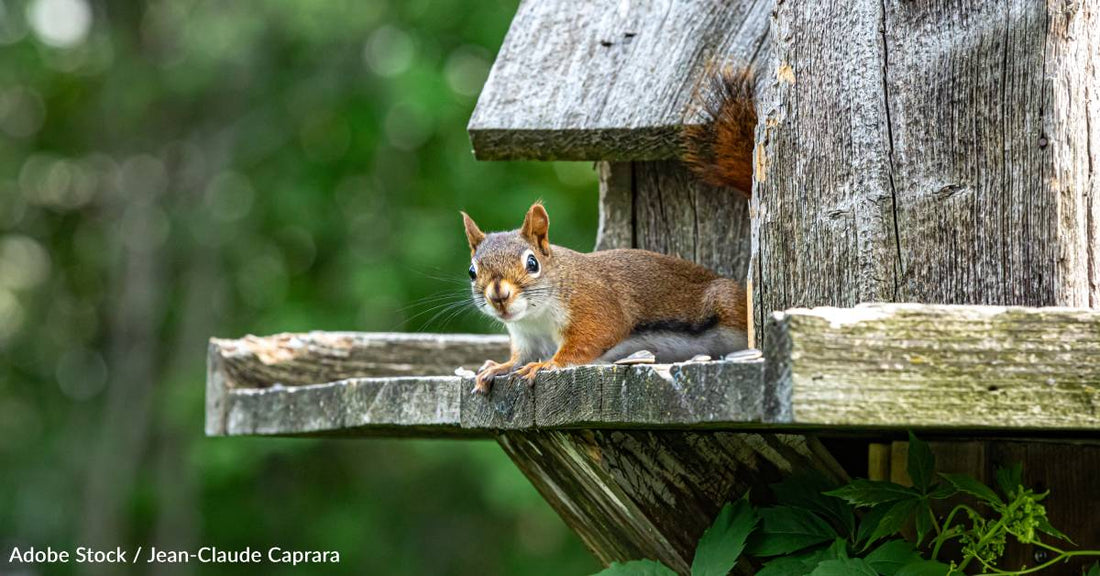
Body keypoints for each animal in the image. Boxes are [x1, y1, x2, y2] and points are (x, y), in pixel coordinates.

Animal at [462, 67, 756, 394]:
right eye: (472, 271)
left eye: (532, 263)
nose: (498, 295)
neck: (535, 316)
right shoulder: (526, 337)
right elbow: (519, 357)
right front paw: (497, 367)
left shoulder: (594, 307)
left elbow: (586, 343)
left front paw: (545, 365)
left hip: (726, 304)